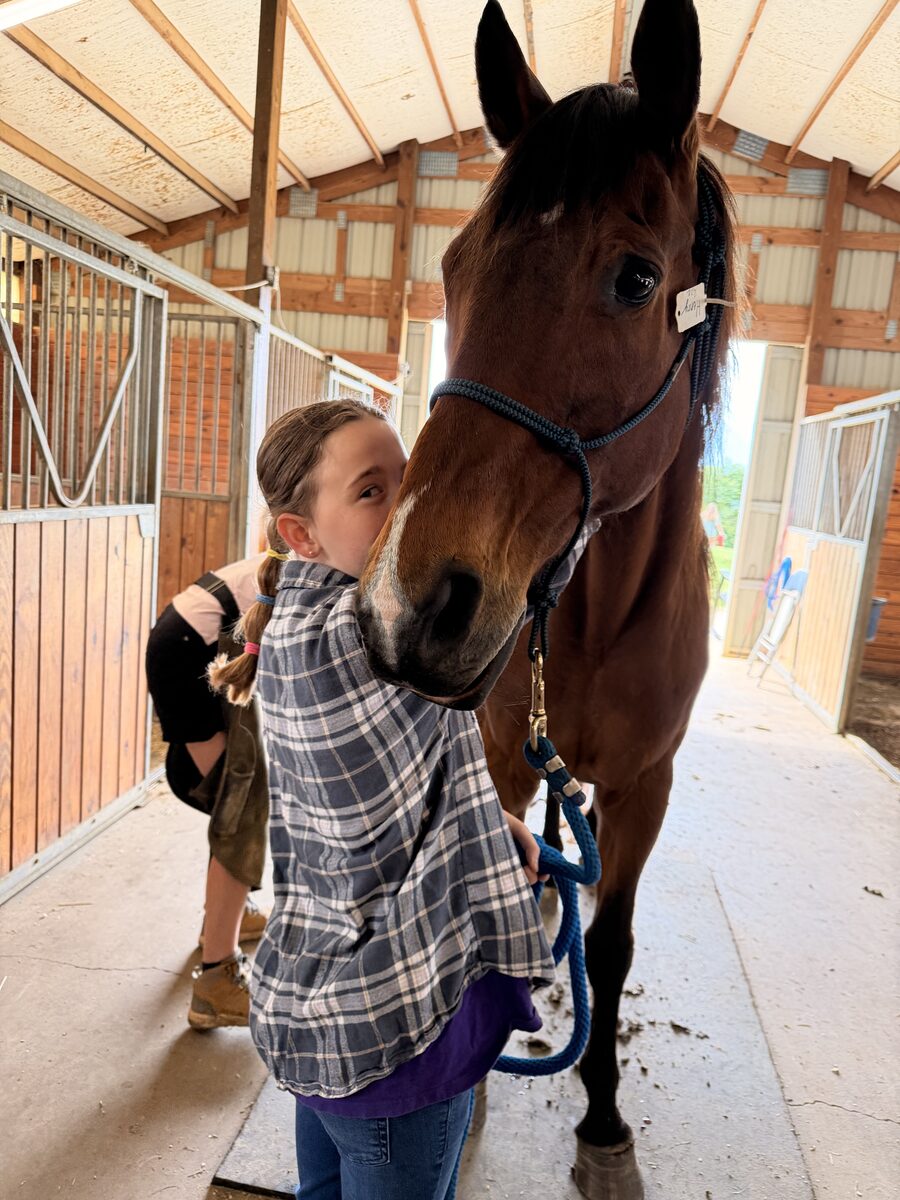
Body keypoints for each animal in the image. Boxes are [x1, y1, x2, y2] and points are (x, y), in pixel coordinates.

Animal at [356, 1, 739, 1196]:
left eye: (635, 279)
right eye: (455, 264)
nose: (412, 603)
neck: (600, 614)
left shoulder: (646, 786)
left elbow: (608, 947)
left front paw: (603, 1119)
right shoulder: (500, 754)